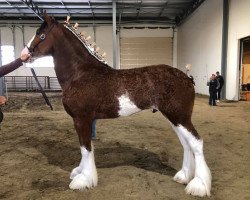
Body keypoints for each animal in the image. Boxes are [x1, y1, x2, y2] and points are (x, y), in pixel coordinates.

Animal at [21, 12, 212, 197]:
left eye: (41, 35)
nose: (24, 55)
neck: (80, 73)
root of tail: (187, 78)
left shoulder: (81, 119)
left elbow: (85, 148)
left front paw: (83, 180)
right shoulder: (83, 120)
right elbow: (85, 147)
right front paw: (80, 172)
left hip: (180, 117)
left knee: (196, 143)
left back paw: (198, 186)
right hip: (175, 118)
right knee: (186, 144)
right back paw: (183, 176)